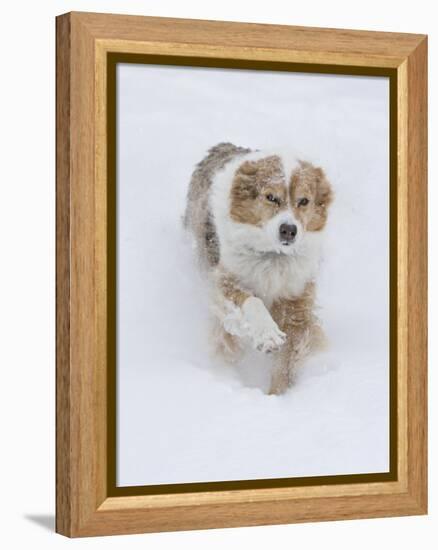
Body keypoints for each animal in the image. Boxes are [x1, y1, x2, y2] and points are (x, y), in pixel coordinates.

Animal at [184, 144, 332, 394]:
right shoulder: (224, 279)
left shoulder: (297, 300)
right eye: (271, 197)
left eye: (304, 201)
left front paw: (278, 395)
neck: (273, 257)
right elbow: (251, 301)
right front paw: (267, 335)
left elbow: (287, 360)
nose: (289, 230)